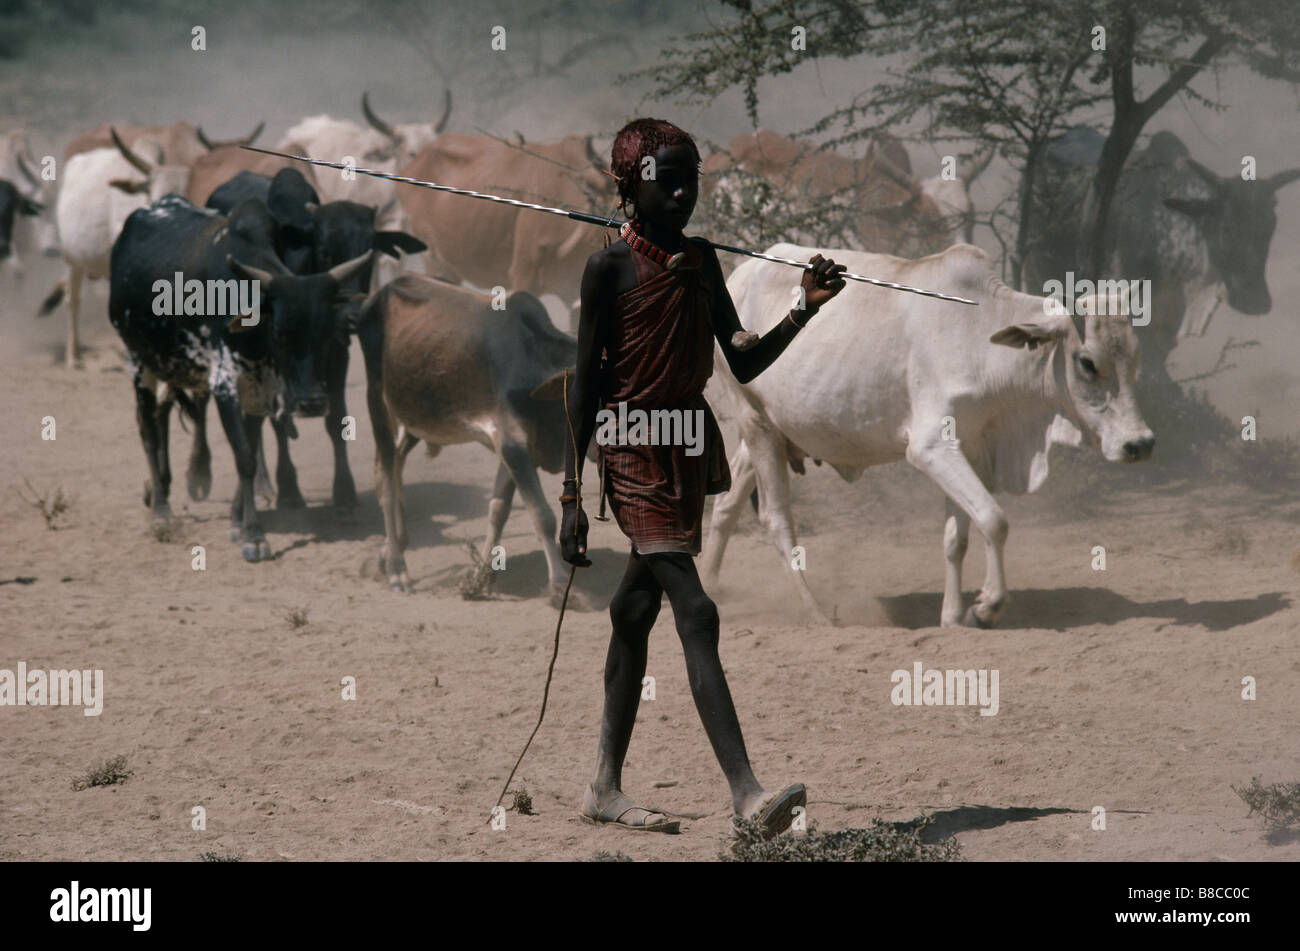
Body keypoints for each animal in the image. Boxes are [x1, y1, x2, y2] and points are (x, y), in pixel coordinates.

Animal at [107, 197, 374, 561]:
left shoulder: (261, 387)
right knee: (147, 428)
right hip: (138, 361)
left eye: (324, 333)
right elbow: (245, 457)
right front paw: (253, 535)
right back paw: (161, 510)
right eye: (281, 332)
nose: (313, 403)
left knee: (162, 414)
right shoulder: (225, 385)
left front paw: (237, 520)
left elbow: (249, 443)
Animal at [707, 241, 1154, 628]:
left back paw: (712, 588)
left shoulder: (969, 449)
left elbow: (958, 538)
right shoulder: (931, 448)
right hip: (757, 425)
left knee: (727, 505)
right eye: (1087, 362)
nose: (1140, 443)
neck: (982, 342)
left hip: (768, 431)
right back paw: (816, 613)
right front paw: (986, 607)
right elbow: (994, 520)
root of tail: (743, 273)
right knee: (776, 519)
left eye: (1135, 359)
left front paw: (953, 616)